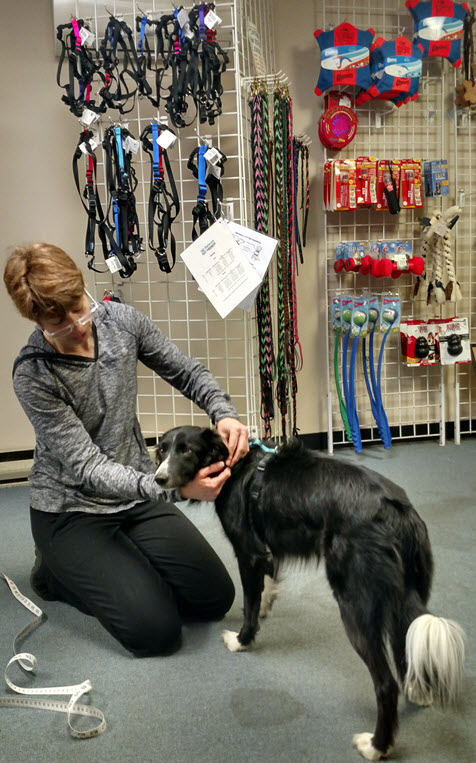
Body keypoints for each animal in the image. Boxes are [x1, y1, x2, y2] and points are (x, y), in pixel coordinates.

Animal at [155, 426, 464, 760]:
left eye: (186, 450)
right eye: (161, 450)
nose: (158, 478)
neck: (235, 465)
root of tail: (397, 511)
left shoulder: (247, 552)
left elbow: (250, 603)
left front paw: (242, 640)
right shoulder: (265, 549)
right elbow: (266, 585)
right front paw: (266, 606)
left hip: (355, 603)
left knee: (385, 684)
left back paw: (376, 746)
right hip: (404, 598)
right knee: (405, 651)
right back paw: (417, 694)